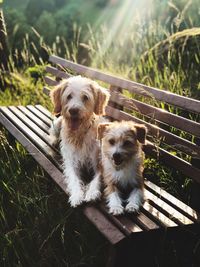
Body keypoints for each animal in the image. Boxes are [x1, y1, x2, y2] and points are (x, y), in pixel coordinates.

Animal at [49, 76, 110, 208]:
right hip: (57, 124)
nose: (73, 110)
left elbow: (96, 179)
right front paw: (77, 195)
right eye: (69, 96)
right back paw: (54, 141)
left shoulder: (99, 162)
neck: (79, 134)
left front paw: (92, 192)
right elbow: (73, 178)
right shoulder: (71, 161)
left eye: (85, 97)